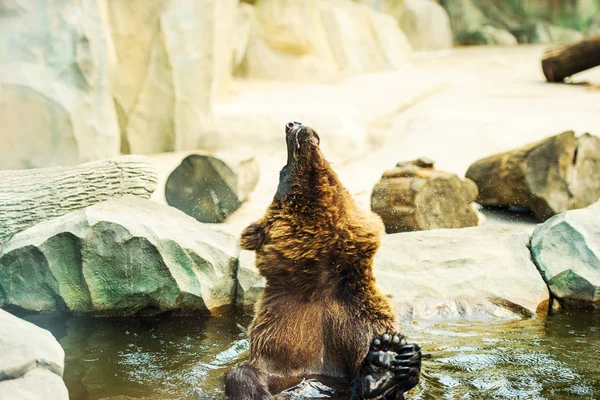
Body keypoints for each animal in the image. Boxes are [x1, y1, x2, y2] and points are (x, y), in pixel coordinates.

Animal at [226, 122, 422, 400]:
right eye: (281, 172)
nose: (293, 124)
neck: (321, 277)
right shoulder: (278, 334)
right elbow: (248, 374)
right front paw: (383, 362)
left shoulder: (357, 315)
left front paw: (389, 355)